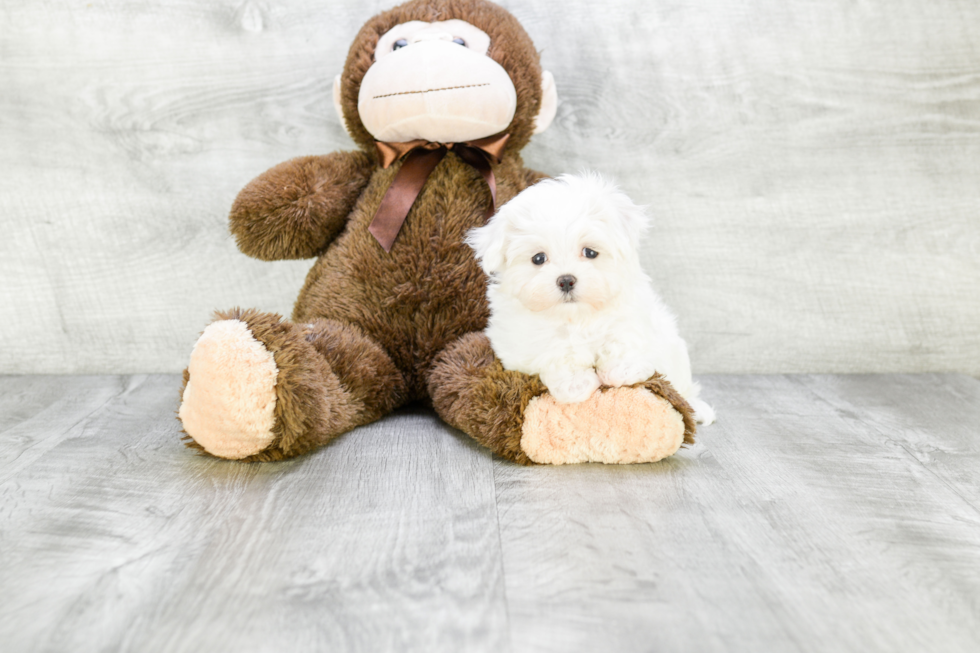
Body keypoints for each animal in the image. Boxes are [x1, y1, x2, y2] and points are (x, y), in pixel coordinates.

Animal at [464, 172, 716, 422]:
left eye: (590, 252)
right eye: (538, 258)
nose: (566, 280)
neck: (578, 317)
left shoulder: (631, 315)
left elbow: (623, 339)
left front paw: (622, 371)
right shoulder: (521, 343)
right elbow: (553, 355)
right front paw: (576, 384)